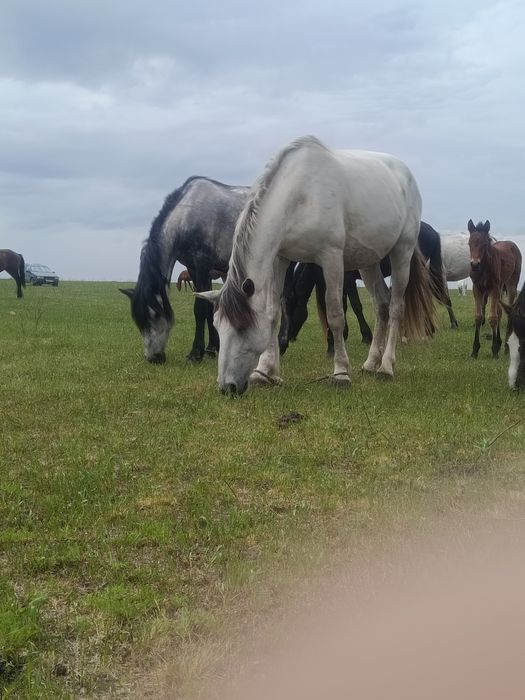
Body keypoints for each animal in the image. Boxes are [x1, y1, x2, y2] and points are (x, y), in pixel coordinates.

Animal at [121, 177, 249, 363]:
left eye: (155, 315)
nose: (153, 358)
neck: (187, 216)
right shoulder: (194, 269)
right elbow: (209, 308)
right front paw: (211, 348)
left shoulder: (203, 265)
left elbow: (200, 309)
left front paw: (196, 353)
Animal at [196, 135, 435, 395]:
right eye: (217, 327)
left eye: (242, 327)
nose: (226, 387)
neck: (300, 194)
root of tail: (405, 174)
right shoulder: (280, 259)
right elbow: (272, 312)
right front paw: (265, 371)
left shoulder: (331, 258)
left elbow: (335, 314)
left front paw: (341, 373)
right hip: (369, 262)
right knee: (381, 305)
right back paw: (371, 363)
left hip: (402, 251)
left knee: (395, 307)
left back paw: (386, 367)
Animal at [468, 219, 522, 359]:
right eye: (469, 243)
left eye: (484, 244)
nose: (474, 264)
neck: (484, 267)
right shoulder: (477, 289)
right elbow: (479, 317)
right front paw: (475, 350)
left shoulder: (494, 288)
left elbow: (493, 317)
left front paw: (494, 351)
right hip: (500, 289)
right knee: (500, 311)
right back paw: (499, 342)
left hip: (510, 285)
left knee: (507, 310)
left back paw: (506, 347)